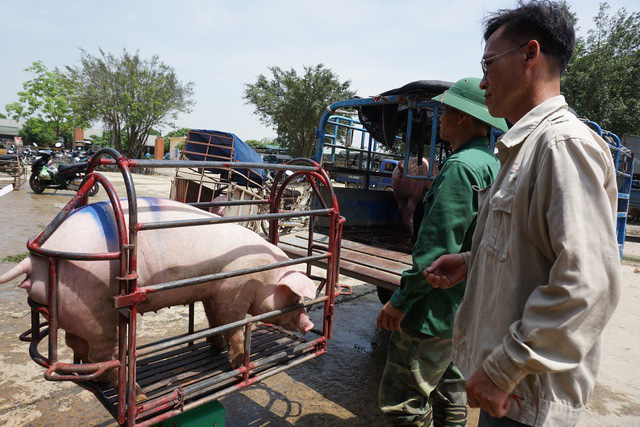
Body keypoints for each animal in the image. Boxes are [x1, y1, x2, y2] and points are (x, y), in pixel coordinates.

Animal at [0, 197, 316, 402]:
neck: (264, 275)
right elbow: (233, 326)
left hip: (74, 314)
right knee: (105, 355)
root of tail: (37, 261)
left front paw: (213, 346)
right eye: (294, 296)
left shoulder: (212, 292)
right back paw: (139, 395)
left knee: (76, 345)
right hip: (95, 311)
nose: (310, 325)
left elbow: (214, 320)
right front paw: (237, 361)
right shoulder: (233, 290)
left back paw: (100, 380)